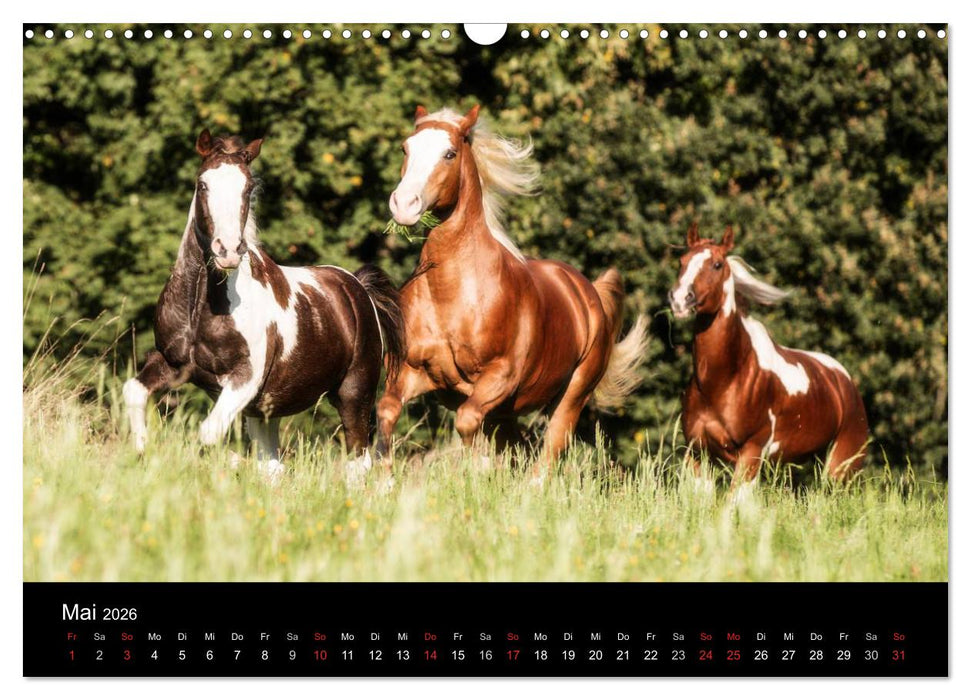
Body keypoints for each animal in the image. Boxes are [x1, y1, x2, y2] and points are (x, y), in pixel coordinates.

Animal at [122, 129, 405, 481]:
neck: (200, 309)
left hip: (354, 394)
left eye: (247, 187)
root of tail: (357, 288)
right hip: (266, 411)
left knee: (358, 461)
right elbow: (133, 391)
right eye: (203, 184)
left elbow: (209, 434)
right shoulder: (171, 363)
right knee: (272, 463)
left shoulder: (244, 378)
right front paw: (142, 452)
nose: (228, 250)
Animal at [376, 105, 648, 476]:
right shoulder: (414, 371)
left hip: (570, 397)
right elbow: (387, 410)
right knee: (518, 448)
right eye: (406, 148)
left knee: (547, 455)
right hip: (506, 413)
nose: (404, 204)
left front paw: (475, 471)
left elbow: (466, 421)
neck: (451, 293)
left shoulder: (499, 376)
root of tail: (588, 292)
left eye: (450, 153)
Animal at [668, 223, 869, 486]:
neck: (723, 380)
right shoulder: (697, 453)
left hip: (841, 468)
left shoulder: (751, 452)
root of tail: (845, 381)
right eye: (681, 261)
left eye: (717, 264)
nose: (680, 299)